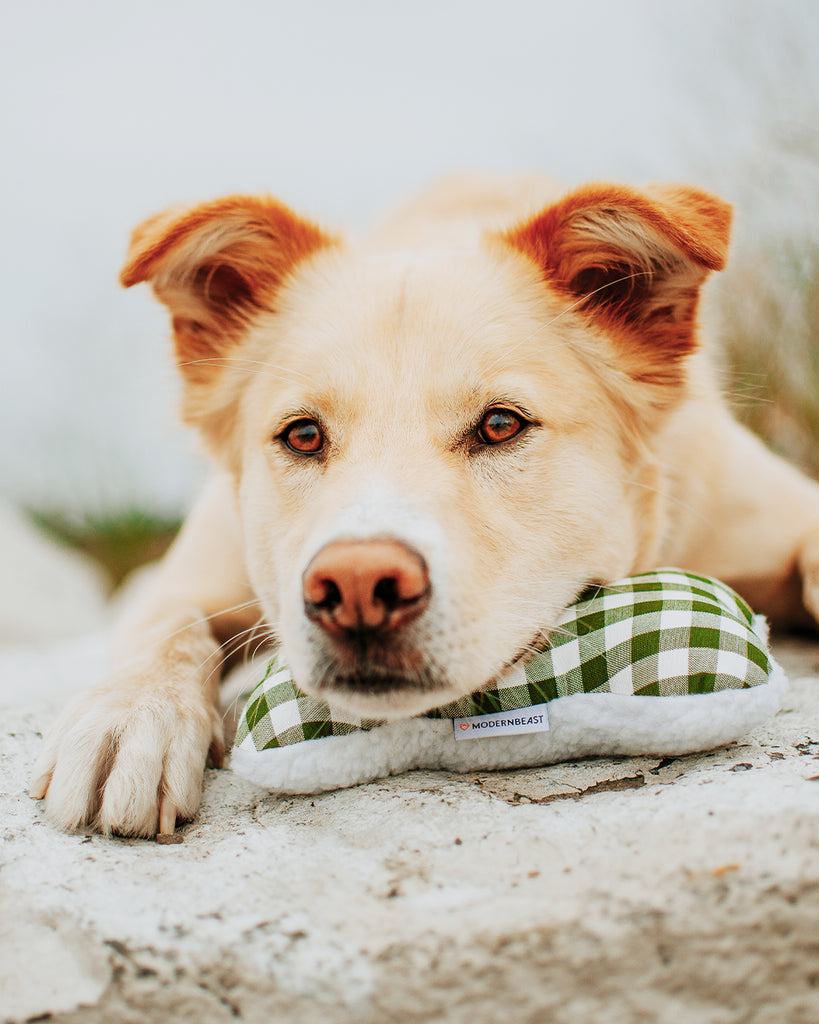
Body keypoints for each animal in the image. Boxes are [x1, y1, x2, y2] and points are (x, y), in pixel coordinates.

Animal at [28, 172, 818, 835]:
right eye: (303, 435)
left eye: (499, 425)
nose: (355, 589)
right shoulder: (195, 568)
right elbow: (163, 625)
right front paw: (128, 719)